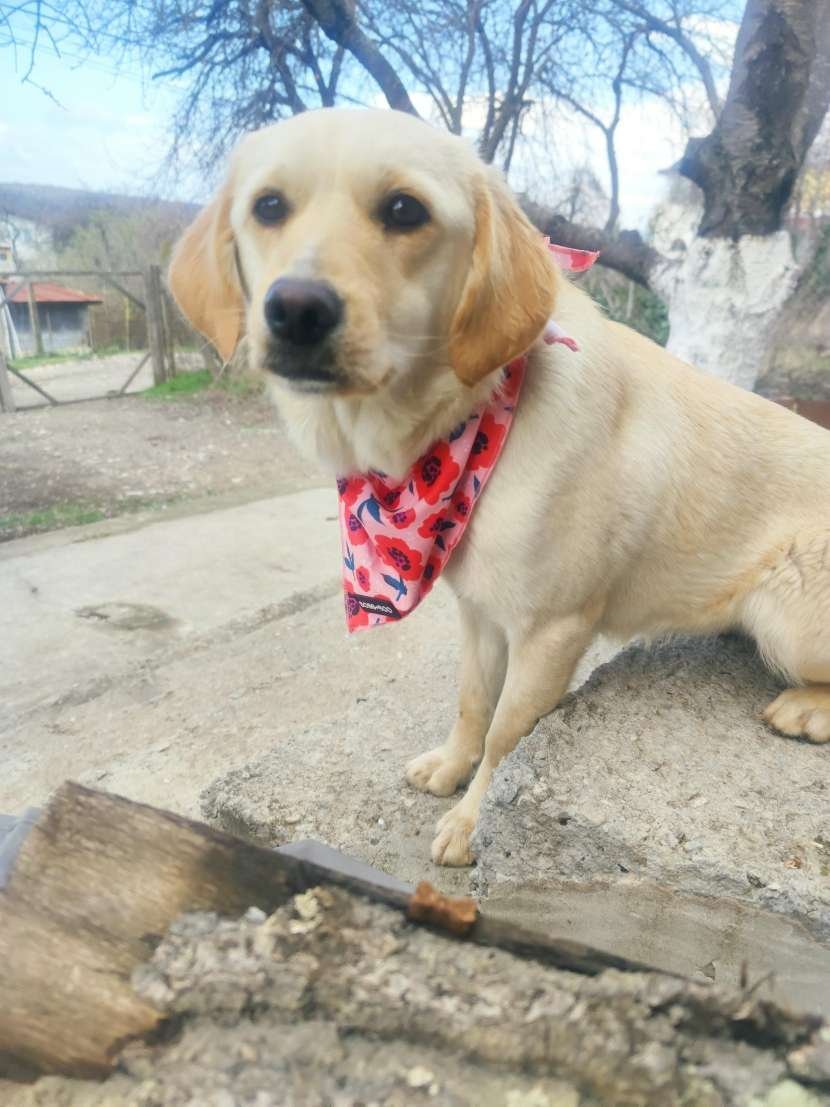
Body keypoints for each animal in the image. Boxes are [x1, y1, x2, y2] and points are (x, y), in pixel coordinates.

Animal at [169, 107, 830, 867]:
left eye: (405, 210)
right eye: (269, 206)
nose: (297, 310)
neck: (472, 428)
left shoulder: (552, 629)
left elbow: (509, 732)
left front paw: (471, 819)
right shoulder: (482, 614)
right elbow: (473, 704)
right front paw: (452, 766)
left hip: (786, 617)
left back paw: (807, 708)